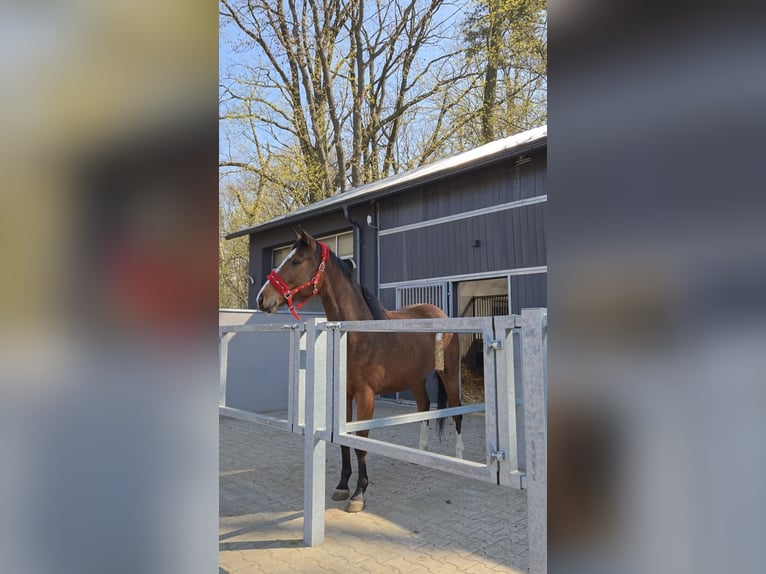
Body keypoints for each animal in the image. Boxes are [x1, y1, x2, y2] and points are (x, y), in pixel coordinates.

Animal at [256, 228, 463, 513]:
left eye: (296, 261)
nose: (262, 298)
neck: (356, 335)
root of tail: (439, 313)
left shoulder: (366, 396)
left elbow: (360, 441)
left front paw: (359, 494)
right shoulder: (344, 394)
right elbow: (345, 440)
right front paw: (343, 485)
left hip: (450, 374)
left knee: (457, 410)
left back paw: (460, 458)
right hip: (415, 379)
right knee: (423, 407)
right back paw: (420, 453)